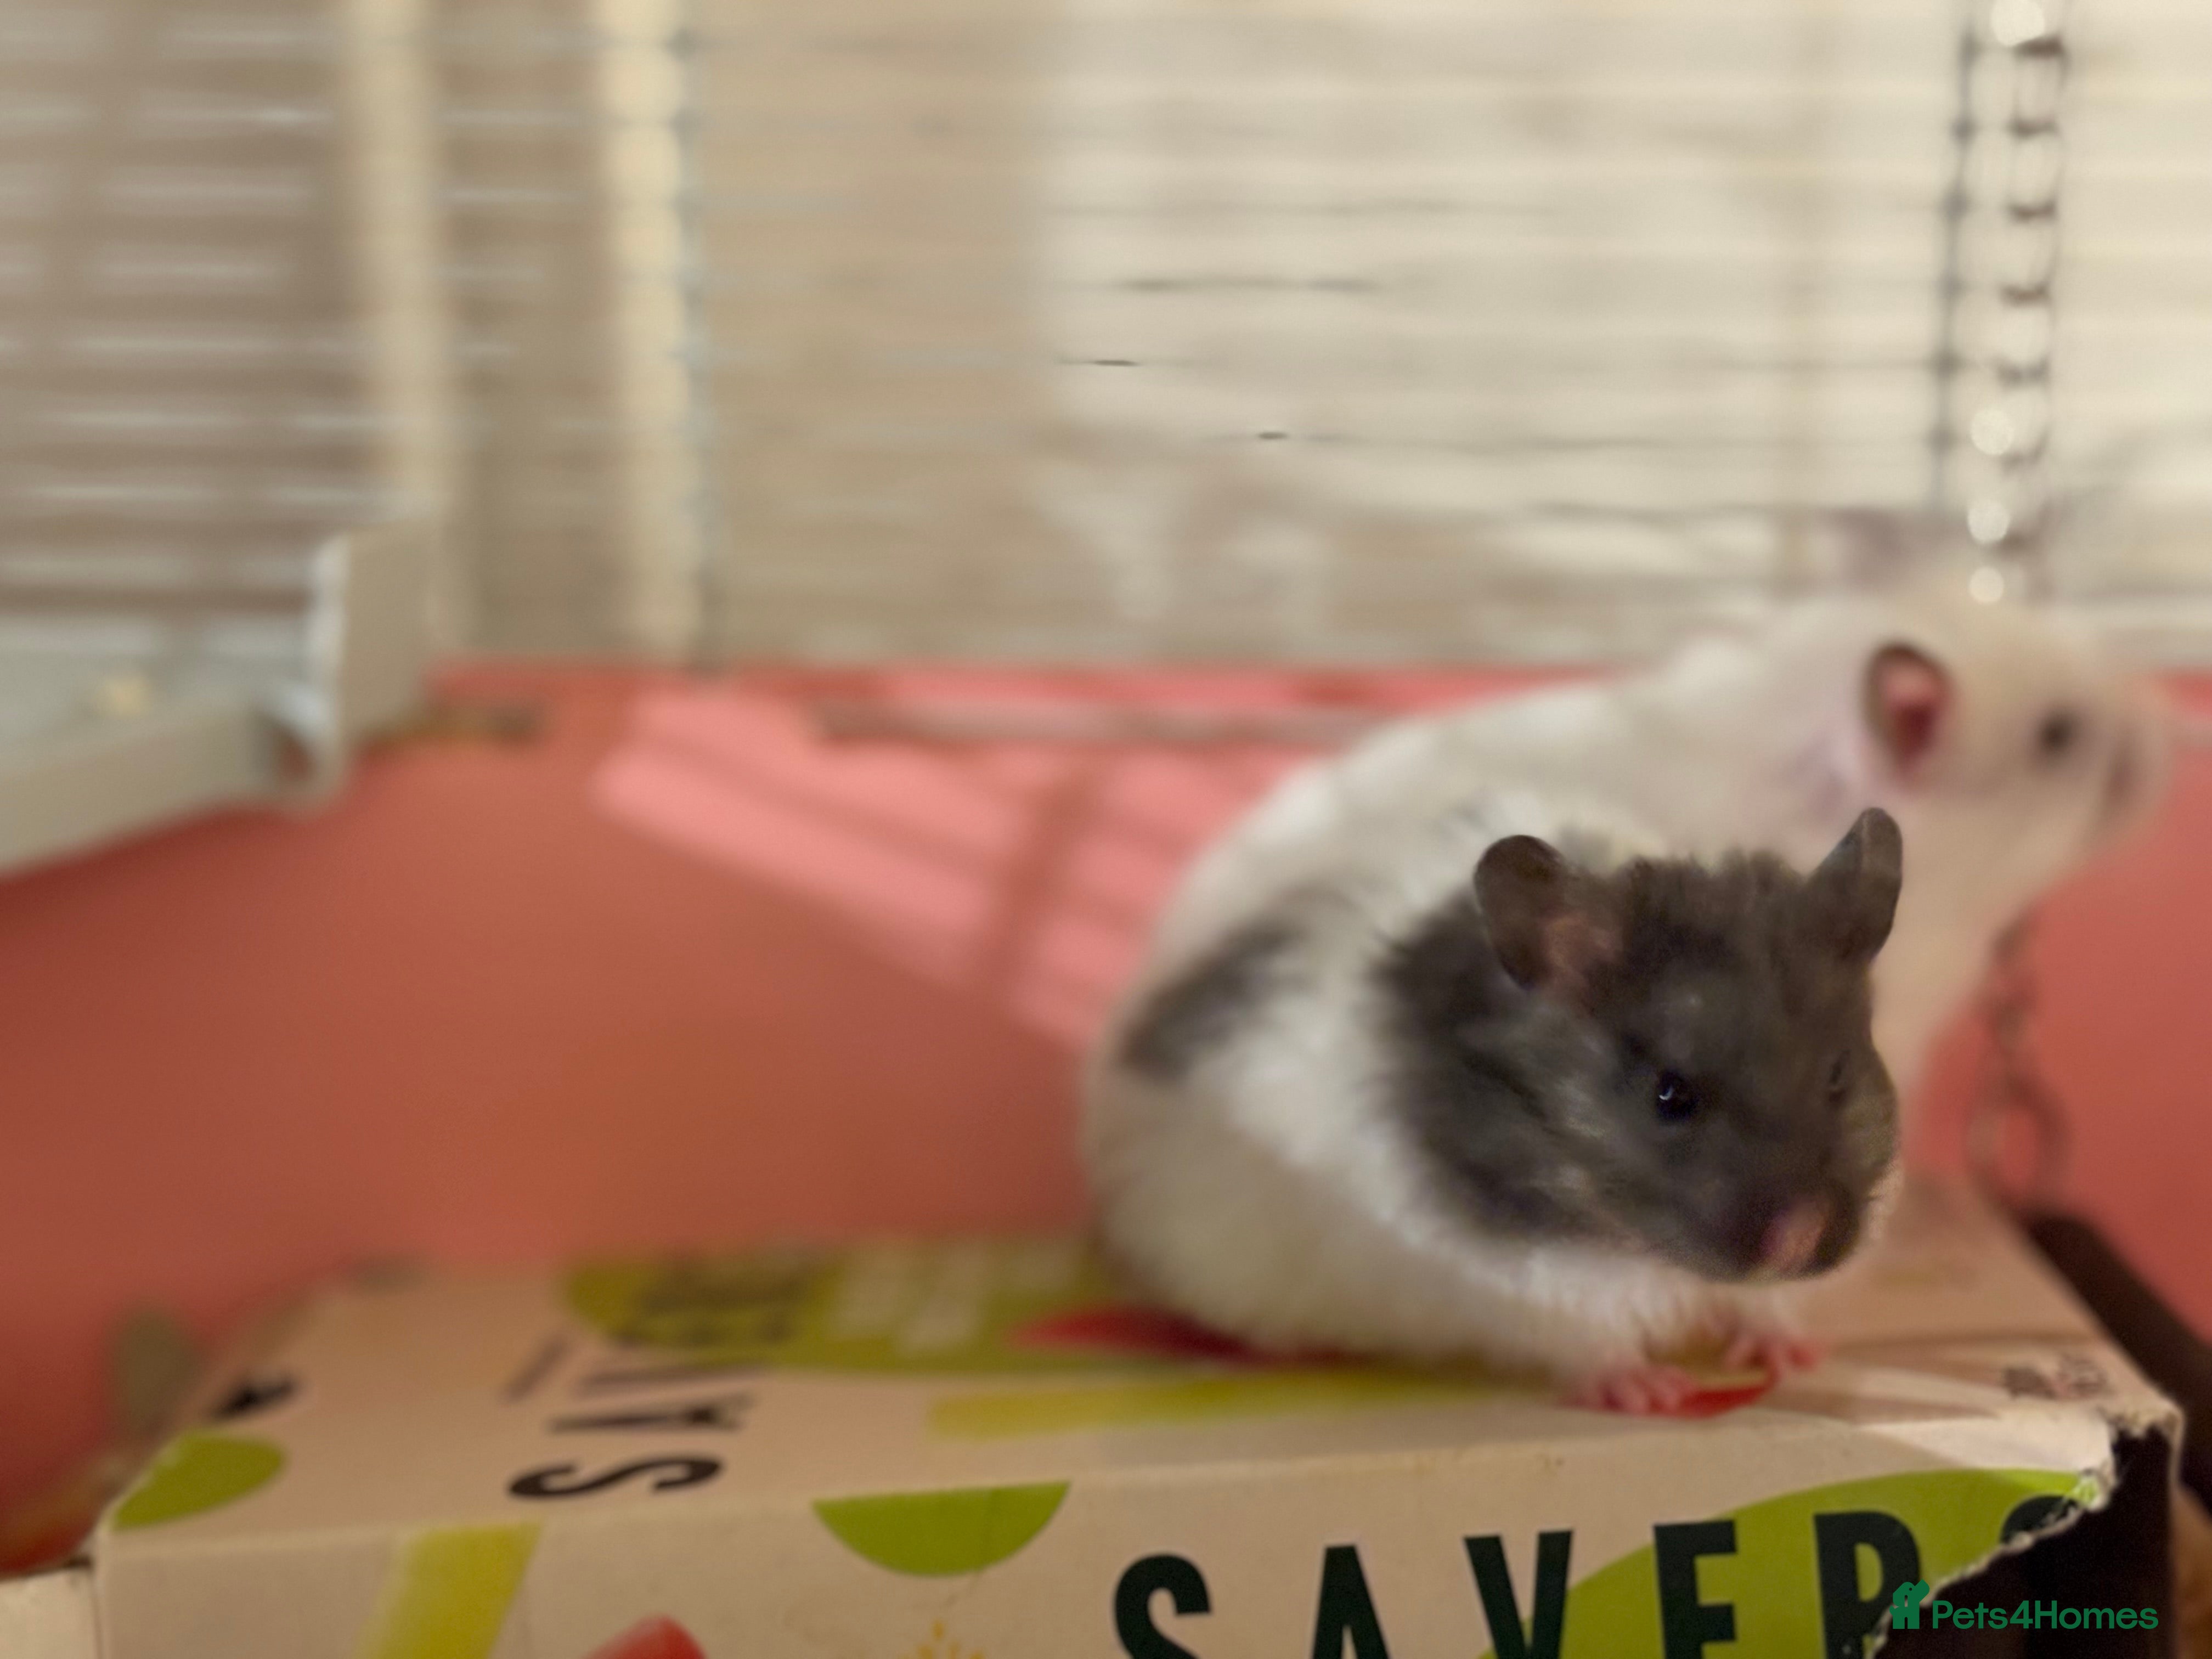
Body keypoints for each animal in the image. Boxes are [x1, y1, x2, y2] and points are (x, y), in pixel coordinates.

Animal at [1086, 804, 1905, 1410]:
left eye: (1839, 1074)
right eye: (1670, 1094)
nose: (1799, 1240)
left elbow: (1765, 1308)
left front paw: (1795, 1355)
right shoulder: (1525, 1279)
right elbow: (1591, 1339)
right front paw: (1653, 1392)